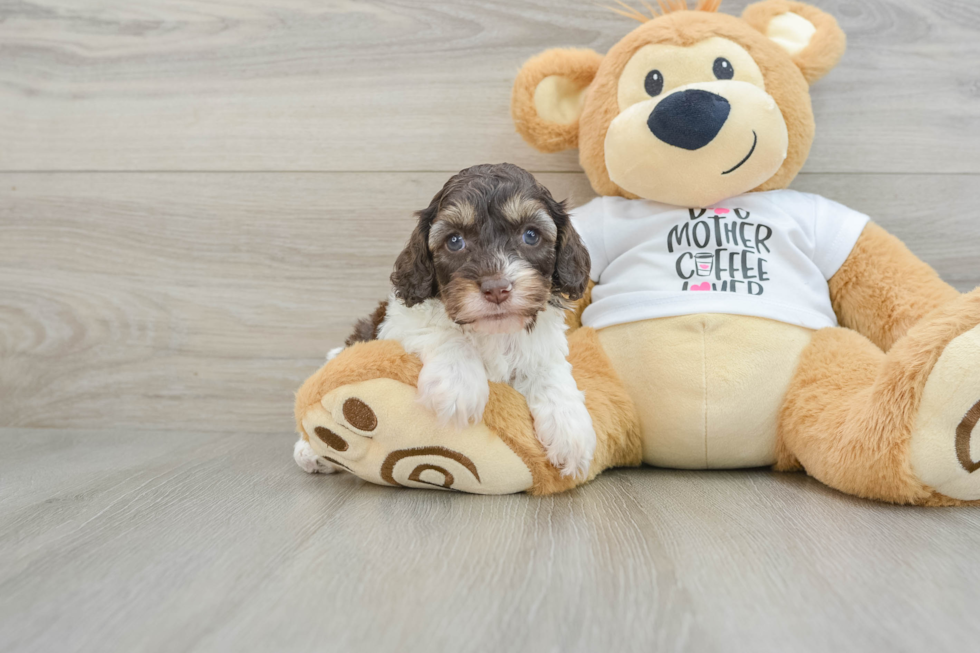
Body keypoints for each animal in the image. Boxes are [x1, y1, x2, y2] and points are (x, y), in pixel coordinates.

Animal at [294, 162, 592, 478]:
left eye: (531, 235)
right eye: (454, 241)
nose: (496, 288)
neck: (491, 331)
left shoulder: (543, 345)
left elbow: (549, 372)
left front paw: (571, 429)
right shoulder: (400, 319)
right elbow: (444, 334)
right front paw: (459, 384)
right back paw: (311, 451)